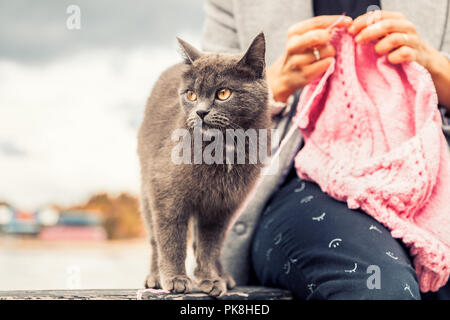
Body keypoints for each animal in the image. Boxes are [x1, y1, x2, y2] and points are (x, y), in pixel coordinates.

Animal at [137, 33, 268, 298]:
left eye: (223, 93)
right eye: (191, 95)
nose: (200, 112)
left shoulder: (220, 204)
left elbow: (209, 244)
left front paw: (210, 279)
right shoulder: (165, 191)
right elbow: (170, 237)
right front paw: (175, 278)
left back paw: (222, 276)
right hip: (146, 188)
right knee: (155, 238)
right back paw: (155, 276)